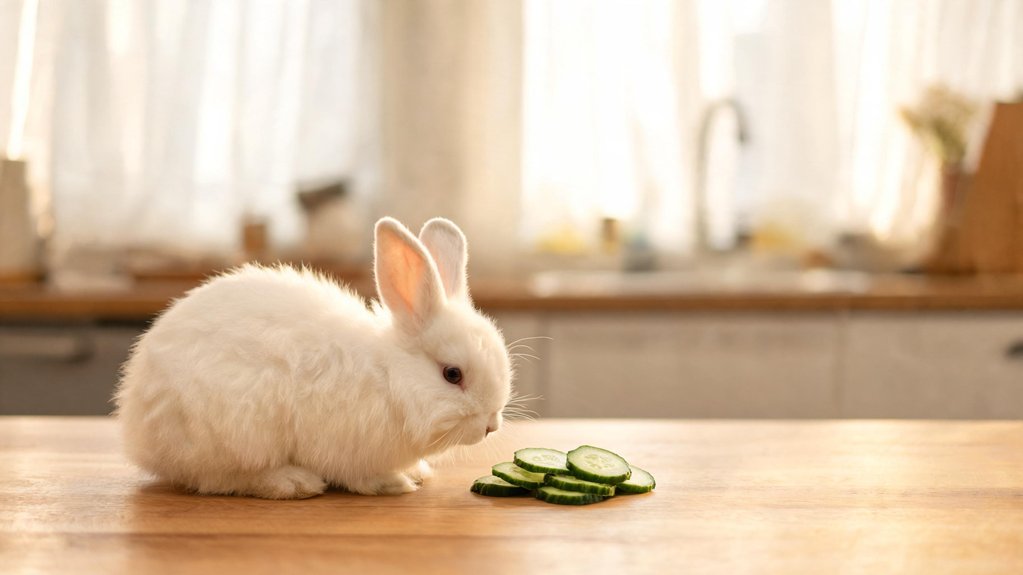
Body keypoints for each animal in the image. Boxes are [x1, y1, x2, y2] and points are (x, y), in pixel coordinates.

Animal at [115, 217, 512, 499]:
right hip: (233, 434)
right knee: (219, 478)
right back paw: (293, 483)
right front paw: (394, 483)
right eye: (452, 374)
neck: (389, 376)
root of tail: (137, 431)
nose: (491, 425)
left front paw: (419, 472)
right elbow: (361, 476)